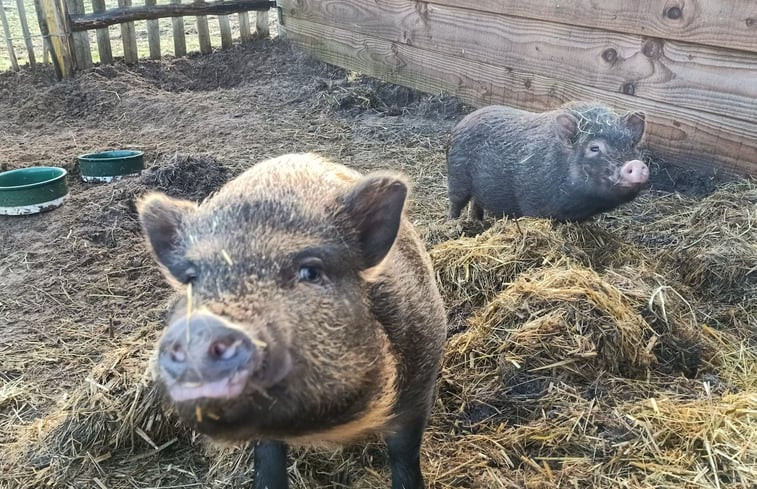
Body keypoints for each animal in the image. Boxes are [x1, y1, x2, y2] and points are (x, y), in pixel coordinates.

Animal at [137, 152, 448, 488]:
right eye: (193, 279)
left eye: (310, 272)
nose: (203, 329)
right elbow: (268, 460)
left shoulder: (421, 379)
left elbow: (405, 454)